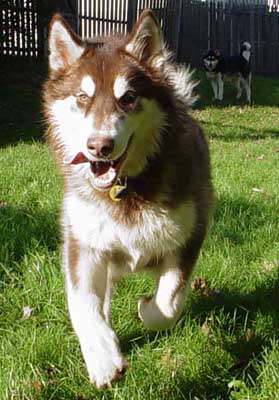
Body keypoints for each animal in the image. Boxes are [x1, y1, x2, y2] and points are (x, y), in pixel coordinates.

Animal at [43, 9, 214, 390]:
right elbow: (82, 304)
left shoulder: (190, 234)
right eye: (82, 97)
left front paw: (147, 308)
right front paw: (103, 357)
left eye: (128, 97)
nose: (99, 146)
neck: (124, 189)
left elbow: (168, 301)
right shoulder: (81, 242)